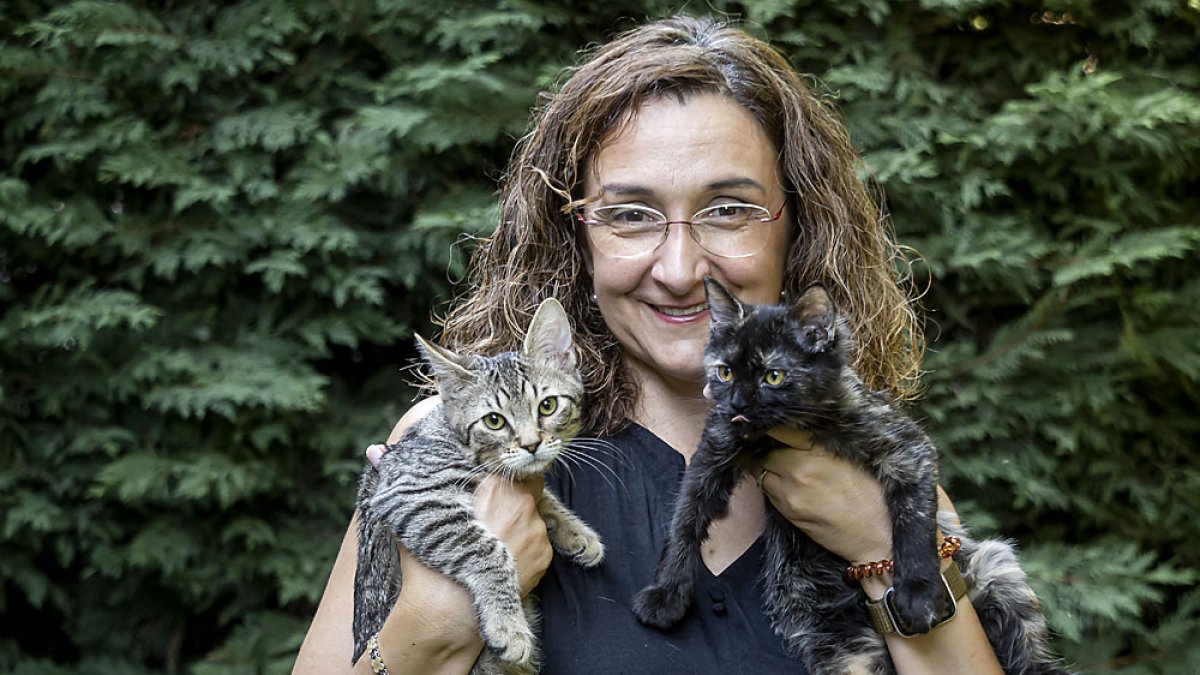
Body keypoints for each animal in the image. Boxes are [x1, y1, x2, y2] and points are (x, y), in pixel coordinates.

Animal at [350, 297, 604, 672]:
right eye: (494, 421)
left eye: (548, 406)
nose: (531, 445)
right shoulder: (411, 492)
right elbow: (487, 550)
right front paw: (508, 626)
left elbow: (542, 496)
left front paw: (575, 531)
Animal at [633, 277, 1075, 672]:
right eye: (725, 372)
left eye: (772, 376)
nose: (738, 404)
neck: (783, 432)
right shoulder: (712, 456)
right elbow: (684, 524)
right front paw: (666, 594)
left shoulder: (907, 450)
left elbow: (912, 525)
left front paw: (917, 594)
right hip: (844, 648)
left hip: (997, 569)